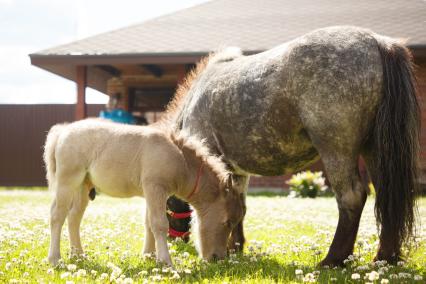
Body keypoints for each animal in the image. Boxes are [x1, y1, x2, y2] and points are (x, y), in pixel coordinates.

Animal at [165, 26, 422, 266]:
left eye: (166, 205)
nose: (174, 240)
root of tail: (378, 42)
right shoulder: (236, 171)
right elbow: (238, 207)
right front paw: (235, 248)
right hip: (375, 150)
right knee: (386, 198)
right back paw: (384, 258)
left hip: (336, 151)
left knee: (352, 198)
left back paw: (332, 260)